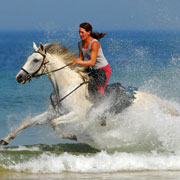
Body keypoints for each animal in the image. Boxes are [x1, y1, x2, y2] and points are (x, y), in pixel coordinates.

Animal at [0, 42, 179, 146]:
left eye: (36, 60)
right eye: (28, 58)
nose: (19, 77)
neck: (66, 87)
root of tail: (156, 100)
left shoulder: (77, 115)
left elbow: (54, 124)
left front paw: (72, 136)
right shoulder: (53, 113)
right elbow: (28, 123)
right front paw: (6, 139)